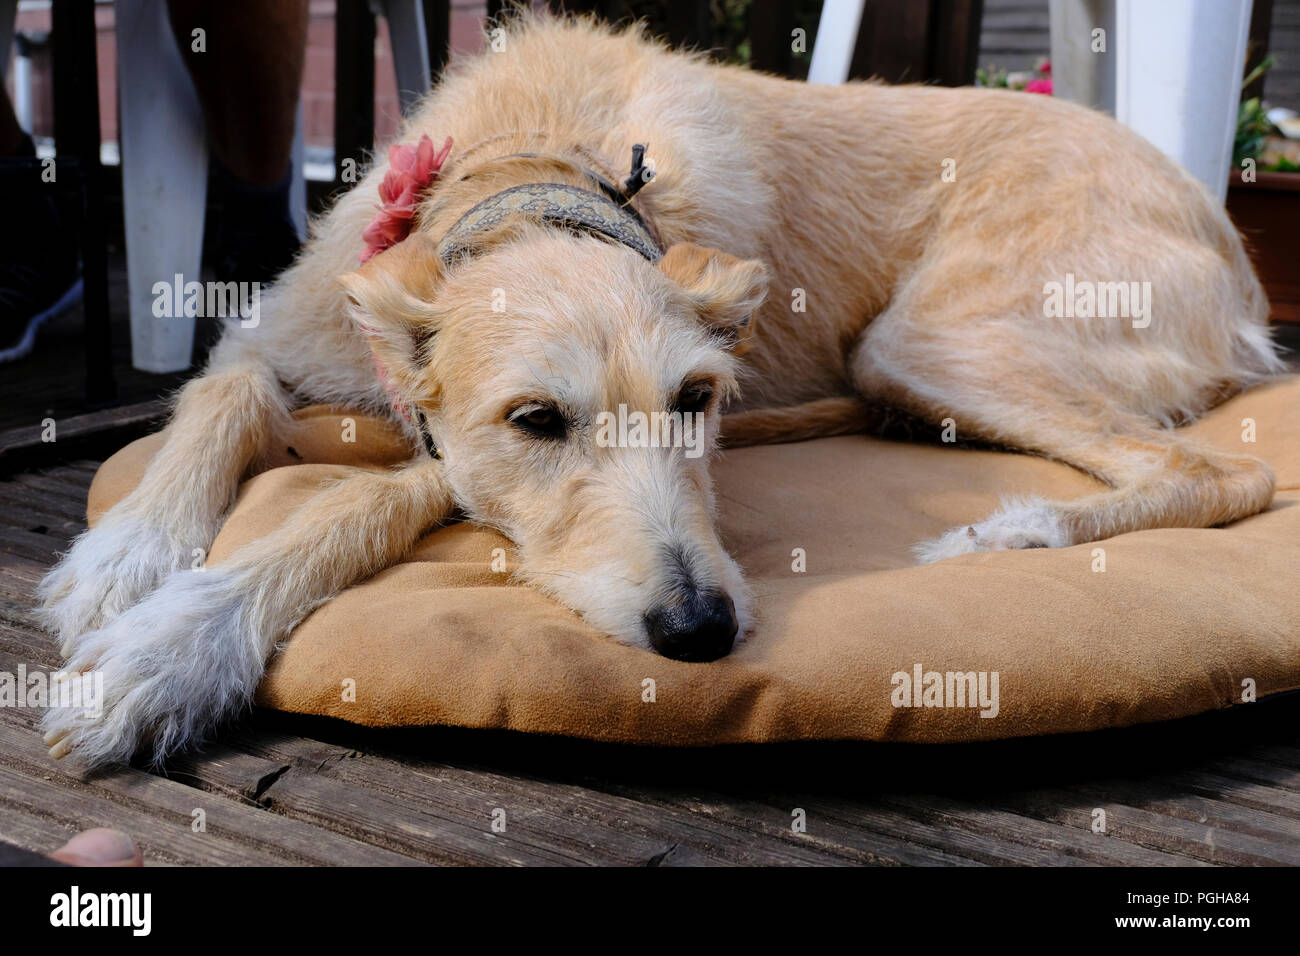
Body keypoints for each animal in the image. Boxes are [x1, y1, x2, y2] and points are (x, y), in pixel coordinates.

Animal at [38, 13, 1279, 770]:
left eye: (697, 400)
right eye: (537, 420)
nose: (701, 629)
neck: (529, 161)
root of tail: (1229, 239)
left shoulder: (440, 450)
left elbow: (369, 496)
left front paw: (176, 643)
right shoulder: (281, 333)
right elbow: (220, 399)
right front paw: (129, 554)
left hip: (931, 337)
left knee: (1230, 471)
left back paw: (1018, 530)